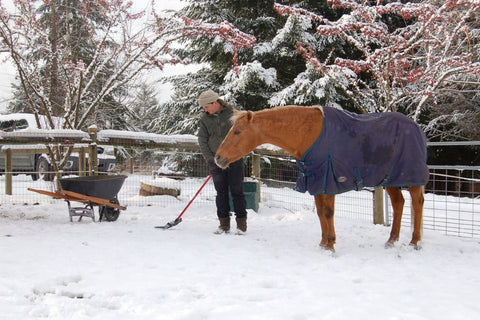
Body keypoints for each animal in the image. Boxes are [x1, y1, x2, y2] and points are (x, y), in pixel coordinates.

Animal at [216, 106, 430, 251]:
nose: (218, 157)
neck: (308, 133)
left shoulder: (328, 181)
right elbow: (320, 213)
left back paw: (415, 242)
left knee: (417, 203)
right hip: (390, 180)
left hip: (410, 177)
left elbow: (327, 213)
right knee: (399, 203)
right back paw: (391, 240)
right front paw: (323, 243)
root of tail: (416, 127)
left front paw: (331, 245)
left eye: (237, 131)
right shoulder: (317, 182)